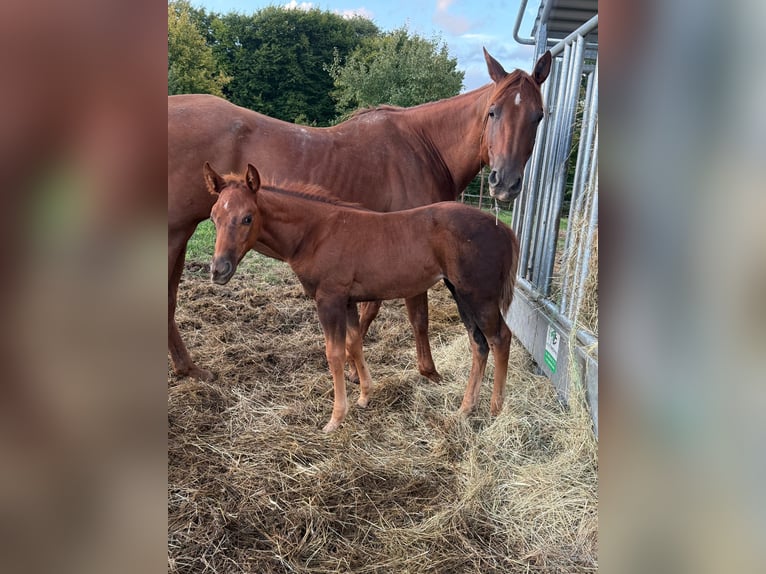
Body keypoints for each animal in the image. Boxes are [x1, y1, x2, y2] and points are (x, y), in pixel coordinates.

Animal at [169, 49, 551, 383]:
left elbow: (370, 309)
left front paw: (353, 368)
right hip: (176, 233)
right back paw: (189, 368)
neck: (421, 147)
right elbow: (415, 315)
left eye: (539, 116)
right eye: (493, 112)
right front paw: (425, 371)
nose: (505, 182)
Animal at [204, 163, 519, 433]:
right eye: (214, 217)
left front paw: (335, 418)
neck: (316, 232)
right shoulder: (348, 301)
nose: (219, 269)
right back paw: (465, 408)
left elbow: (334, 353)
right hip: (461, 294)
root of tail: (503, 229)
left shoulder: (329, 299)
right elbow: (354, 343)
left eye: (247, 218)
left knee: (500, 338)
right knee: (478, 344)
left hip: (479, 296)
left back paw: (495, 409)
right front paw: (365, 396)